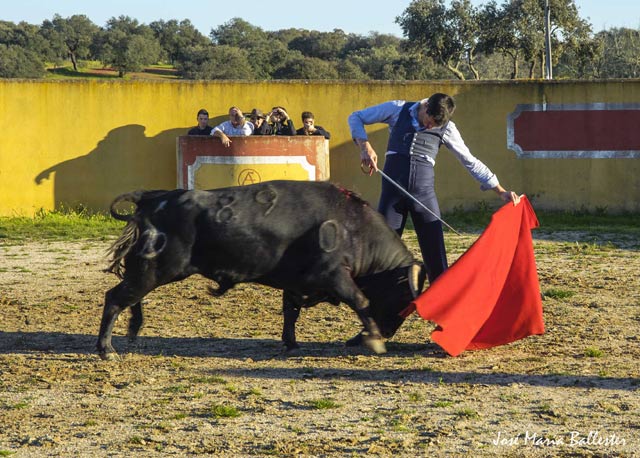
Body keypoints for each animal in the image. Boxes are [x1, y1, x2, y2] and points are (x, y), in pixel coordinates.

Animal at [96, 181, 424, 360]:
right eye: (403, 300)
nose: (388, 331)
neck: (353, 226)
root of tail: (153, 198)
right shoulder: (334, 274)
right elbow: (360, 300)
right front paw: (374, 339)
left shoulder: (296, 281)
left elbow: (291, 310)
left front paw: (290, 343)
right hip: (157, 268)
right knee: (115, 298)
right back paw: (107, 349)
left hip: (147, 269)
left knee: (129, 296)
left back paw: (133, 330)